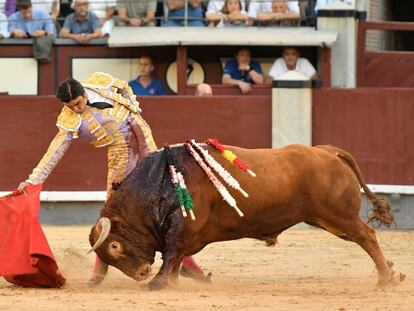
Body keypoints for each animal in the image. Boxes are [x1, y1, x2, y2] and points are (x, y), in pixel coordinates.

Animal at [90, 144, 394, 290]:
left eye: (114, 246)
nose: (141, 274)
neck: (159, 182)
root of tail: (327, 151)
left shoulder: (182, 230)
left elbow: (171, 254)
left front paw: (157, 284)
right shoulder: (183, 236)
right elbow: (174, 259)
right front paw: (171, 283)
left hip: (338, 215)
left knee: (367, 236)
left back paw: (386, 278)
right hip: (329, 219)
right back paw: (389, 273)